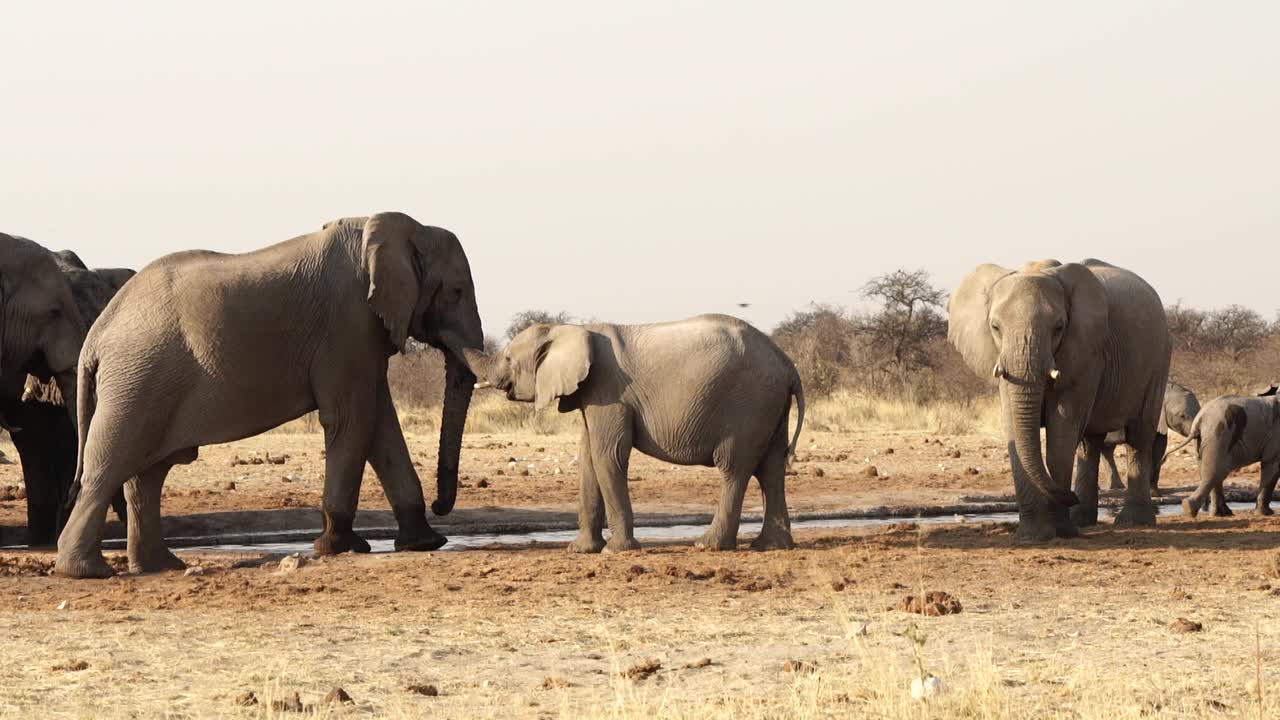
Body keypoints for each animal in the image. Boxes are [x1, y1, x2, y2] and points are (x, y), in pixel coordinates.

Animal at [53, 212, 483, 576]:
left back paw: (161, 566)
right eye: (457, 291)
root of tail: (97, 334)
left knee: (146, 475)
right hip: (138, 377)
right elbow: (352, 417)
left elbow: (379, 422)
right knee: (109, 467)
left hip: (144, 379)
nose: (441, 505)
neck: (395, 228)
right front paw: (340, 547)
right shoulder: (347, 322)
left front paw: (425, 543)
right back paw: (87, 572)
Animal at [465, 312, 803, 548]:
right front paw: (580, 550)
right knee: (772, 469)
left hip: (749, 404)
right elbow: (589, 460)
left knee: (734, 468)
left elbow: (608, 456)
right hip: (770, 404)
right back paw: (769, 546)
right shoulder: (591, 395)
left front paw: (615, 551)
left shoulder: (609, 391)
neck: (572, 329)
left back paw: (708, 545)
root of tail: (788, 364)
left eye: (509, 358)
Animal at [947, 258, 1172, 538]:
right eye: (995, 327)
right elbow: (1014, 428)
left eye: (1059, 328)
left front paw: (1060, 532)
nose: (1069, 496)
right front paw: (1033, 535)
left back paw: (1132, 522)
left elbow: (1062, 428)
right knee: (1090, 442)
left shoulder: (1085, 352)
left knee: (1138, 435)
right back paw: (1082, 520)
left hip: (1159, 359)